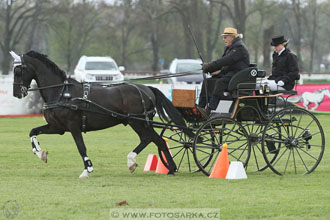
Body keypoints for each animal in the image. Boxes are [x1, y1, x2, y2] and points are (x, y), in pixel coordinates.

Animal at [9, 50, 193, 178]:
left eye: (18, 71)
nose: (16, 93)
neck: (62, 92)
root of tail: (146, 88)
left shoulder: (73, 126)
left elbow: (81, 147)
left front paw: (87, 169)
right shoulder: (57, 127)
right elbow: (33, 132)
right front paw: (41, 154)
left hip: (138, 122)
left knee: (152, 139)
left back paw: (148, 164)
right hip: (139, 122)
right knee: (154, 140)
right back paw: (161, 167)